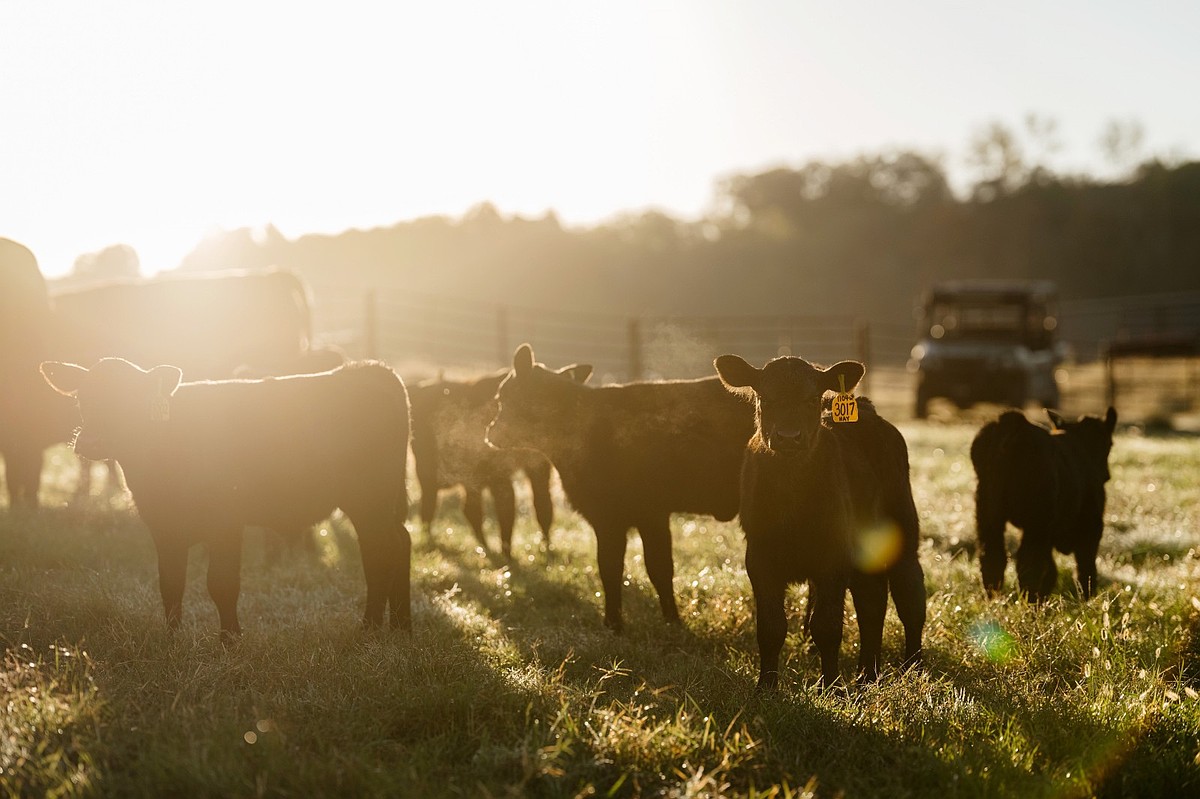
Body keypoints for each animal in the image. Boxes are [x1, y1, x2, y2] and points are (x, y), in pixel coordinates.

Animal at [40, 357, 412, 638]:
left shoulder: (226, 523)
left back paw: (369, 628)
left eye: (131, 401)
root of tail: (370, 368)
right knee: (401, 542)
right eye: (82, 399)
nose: (91, 441)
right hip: (386, 502)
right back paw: (400, 626)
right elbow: (170, 585)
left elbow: (221, 584)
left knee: (380, 552)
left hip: (370, 499)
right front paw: (172, 640)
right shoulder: (164, 527)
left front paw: (229, 640)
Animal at [486, 343, 756, 632]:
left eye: (502, 397)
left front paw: (619, 623)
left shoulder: (637, 514)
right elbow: (629, 568)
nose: (490, 432)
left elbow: (636, 568)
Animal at [714, 354, 926, 688]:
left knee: (910, 596)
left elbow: (826, 626)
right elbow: (771, 627)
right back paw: (867, 676)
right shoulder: (759, 557)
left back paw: (913, 669)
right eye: (764, 398)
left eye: (812, 398)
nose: (789, 438)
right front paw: (766, 688)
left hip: (903, 525)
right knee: (872, 601)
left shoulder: (833, 556)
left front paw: (832, 688)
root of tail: (866, 408)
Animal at [971, 407, 1118, 600]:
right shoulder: (1091, 525)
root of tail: (1015, 423)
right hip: (1036, 520)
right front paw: (1085, 599)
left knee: (993, 558)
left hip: (988, 512)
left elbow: (1051, 570)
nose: (1107, 475)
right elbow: (1084, 567)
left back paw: (996, 601)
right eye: (1109, 444)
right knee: (1029, 564)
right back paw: (1030, 602)